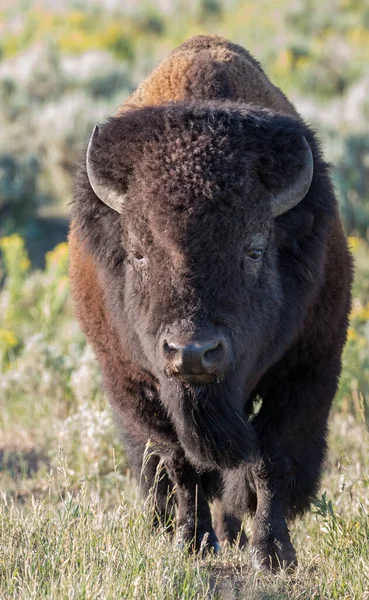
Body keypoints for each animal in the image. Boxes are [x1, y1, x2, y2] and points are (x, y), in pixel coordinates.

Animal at [69, 35, 350, 568]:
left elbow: (270, 461)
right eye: (138, 251)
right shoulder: (135, 383)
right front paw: (191, 543)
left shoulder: (306, 371)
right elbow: (180, 465)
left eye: (254, 249)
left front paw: (273, 554)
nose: (193, 353)